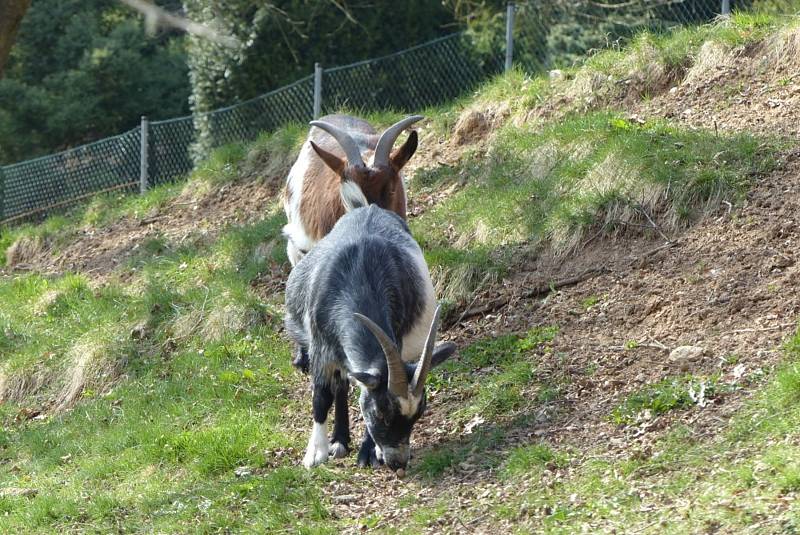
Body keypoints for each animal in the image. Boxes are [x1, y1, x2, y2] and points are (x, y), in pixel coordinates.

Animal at [284, 203, 454, 472]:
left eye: (419, 414)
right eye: (381, 413)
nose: (397, 462)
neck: (361, 278)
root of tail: (370, 207)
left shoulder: (396, 337)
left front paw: (368, 452)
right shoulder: (321, 347)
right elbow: (322, 396)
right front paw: (315, 453)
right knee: (340, 385)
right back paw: (339, 440)